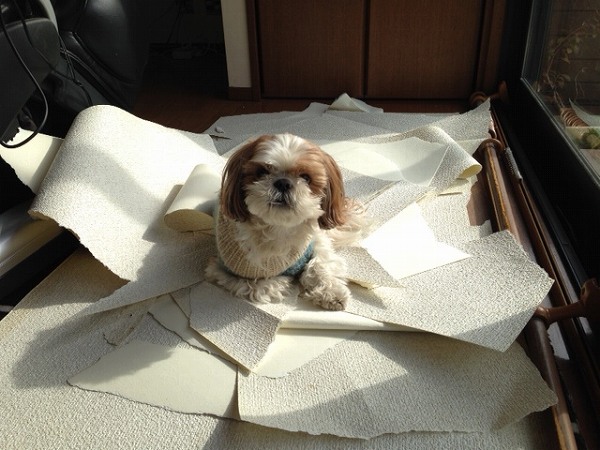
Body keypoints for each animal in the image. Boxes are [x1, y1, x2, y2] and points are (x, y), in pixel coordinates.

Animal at [204, 133, 364, 311]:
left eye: (306, 177)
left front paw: (330, 292)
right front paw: (290, 277)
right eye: (262, 172)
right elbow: (262, 285)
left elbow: (321, 263)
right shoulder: (229, 274)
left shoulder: (316, 241)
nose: (283, 182)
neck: (279, 228)